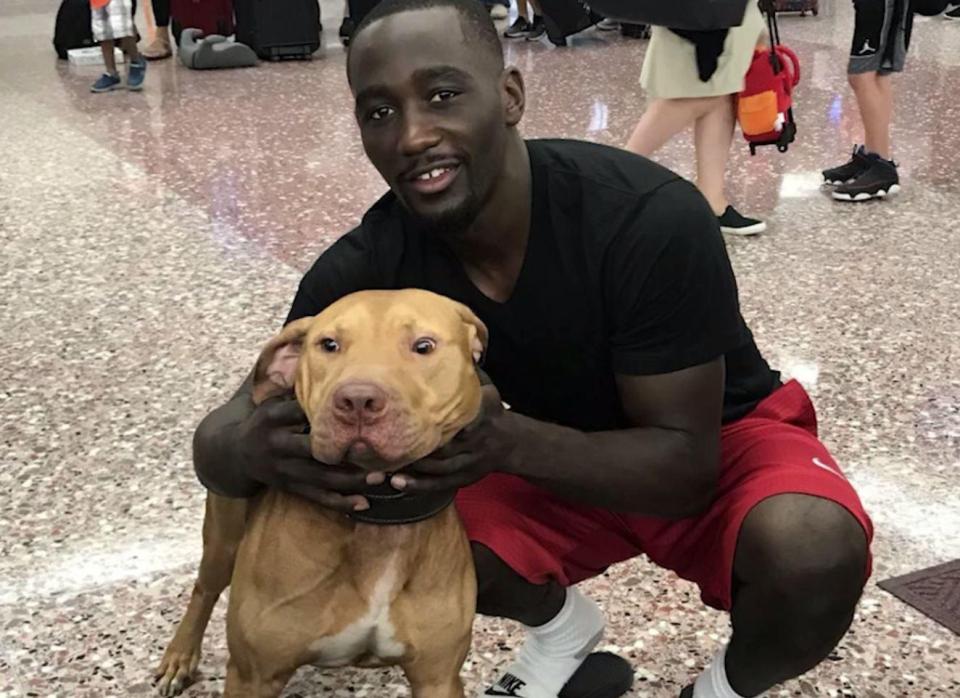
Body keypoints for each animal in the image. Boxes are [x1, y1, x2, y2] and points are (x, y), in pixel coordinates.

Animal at [159, 288, 488, 696]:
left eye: (423, 346)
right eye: (328, 345)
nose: (358, 399)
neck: (380, 522)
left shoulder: (438, 677)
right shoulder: (253, 675)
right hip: (223, 539)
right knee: (204, 590)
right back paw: (180, 656)